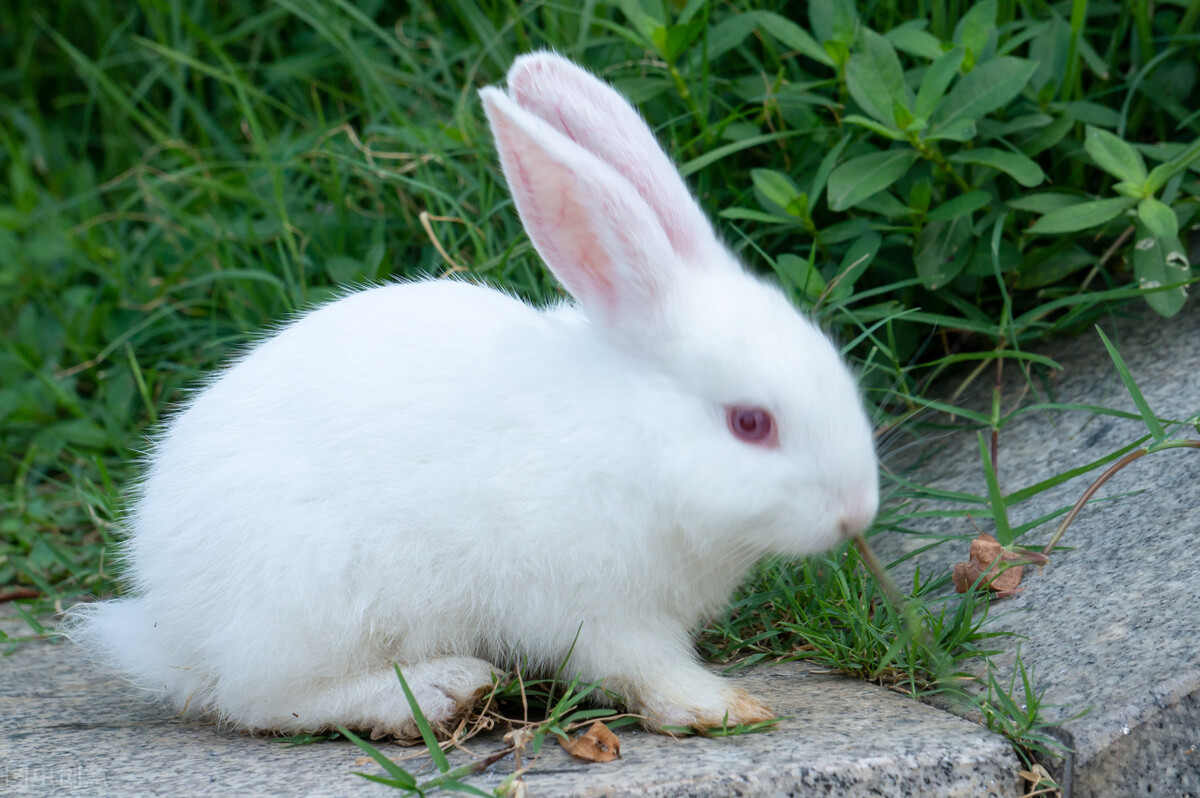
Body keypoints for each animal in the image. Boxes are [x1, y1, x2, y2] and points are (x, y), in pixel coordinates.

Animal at [66, 51, 879, 739]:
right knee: (261, 700)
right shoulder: (601, 608)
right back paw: (438, 690)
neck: (630, 437)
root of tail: (169, 619)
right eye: (751, 423)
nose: (857, 512)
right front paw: (721, 707)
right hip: (312, 596)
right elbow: (643, 667)